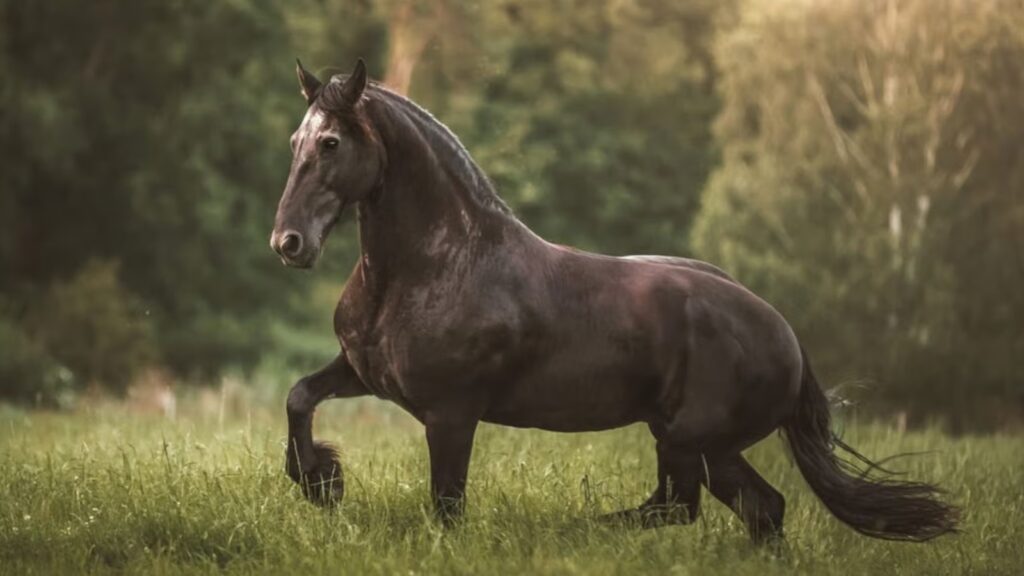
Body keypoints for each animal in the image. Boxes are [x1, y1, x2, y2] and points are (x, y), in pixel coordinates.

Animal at [270, 59, 958, 543]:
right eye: (294, 141)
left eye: (331, 143)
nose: (289, 243)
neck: (435, 265)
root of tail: (783, 331)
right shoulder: (364, 373)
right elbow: (300, 396)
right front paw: (321, 482)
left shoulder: (451, 413)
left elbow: (447, 507)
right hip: (702, 444)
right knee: (758, 509)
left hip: (690, 439)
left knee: (683, 506)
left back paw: (577, 527)